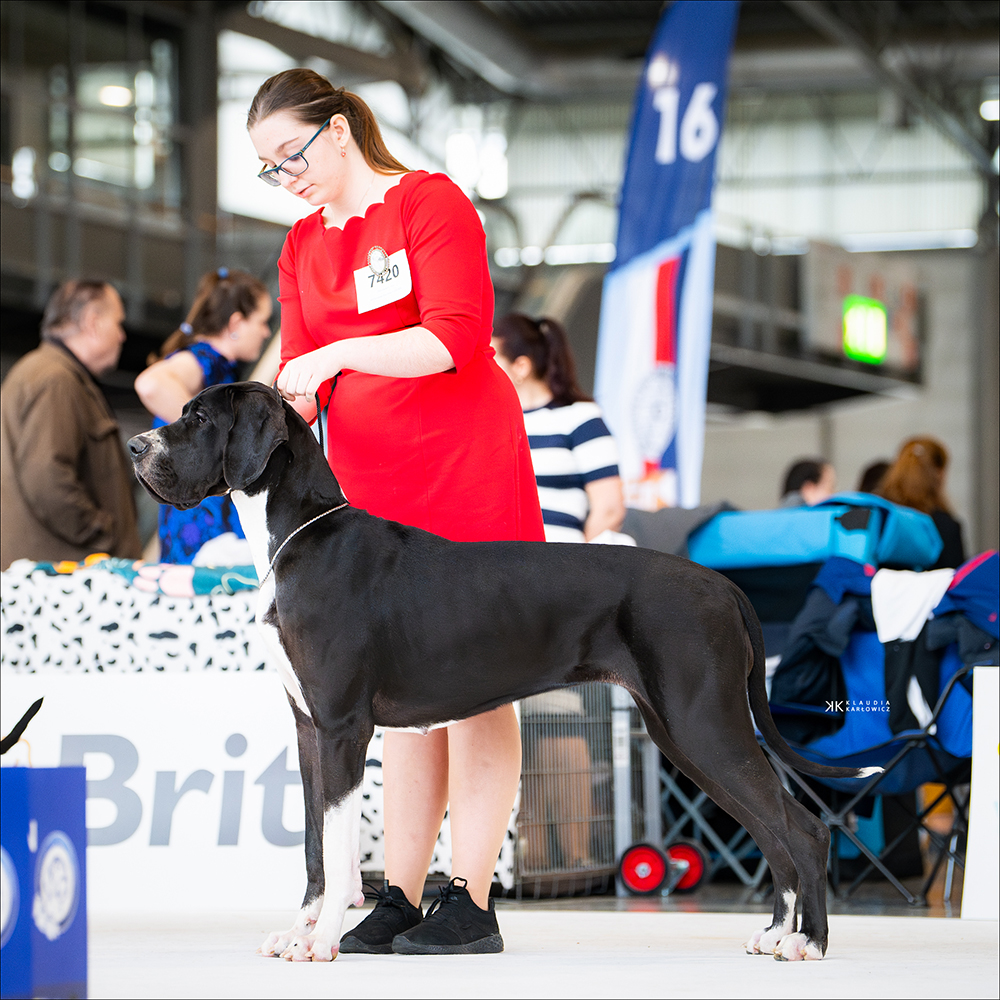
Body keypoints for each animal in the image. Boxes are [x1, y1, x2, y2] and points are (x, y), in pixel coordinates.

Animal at [128, 381, 874, 964]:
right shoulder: (310, 731)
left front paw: (322, 941)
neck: (303, 535)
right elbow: (314, 847)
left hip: (704, 724)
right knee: (771, 830)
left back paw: (808, 942)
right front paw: (299, 931)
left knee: (803, 828)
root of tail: (723, 585)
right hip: (683, 734)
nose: (136, 446)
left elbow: (338, 853)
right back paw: (775, 934)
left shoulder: (342, 729)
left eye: (197, 417)